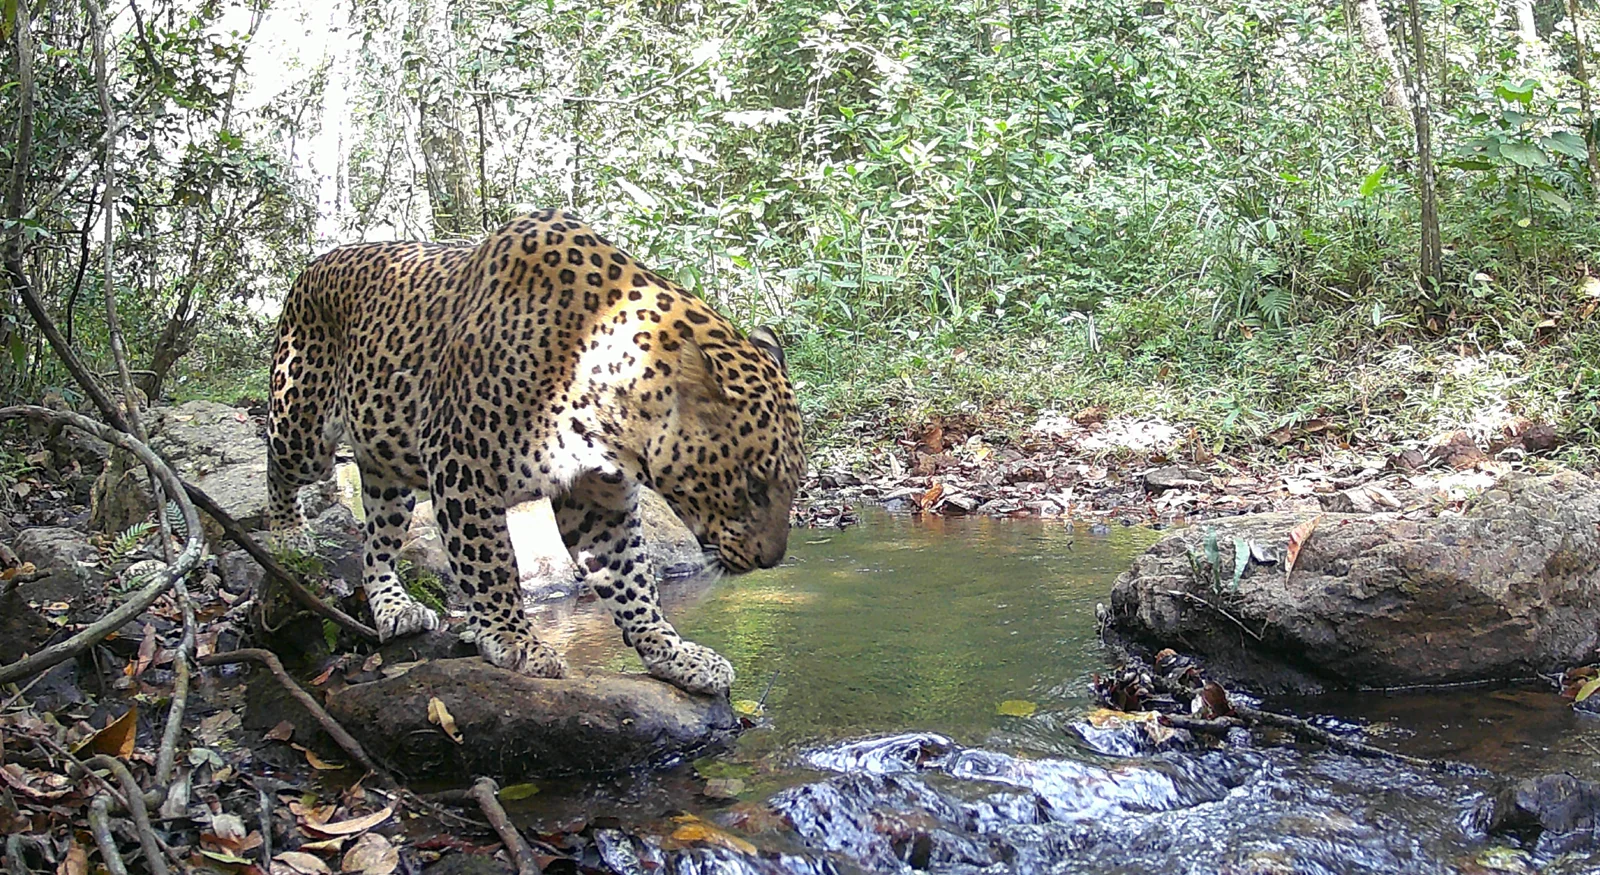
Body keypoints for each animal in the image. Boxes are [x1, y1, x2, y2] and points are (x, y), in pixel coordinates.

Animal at [265, 210, 804, 697]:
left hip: (386, 464)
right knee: (278, 464)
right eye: (753, 486)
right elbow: (491, 563)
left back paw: (394, 607)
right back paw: (287, 536)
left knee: (377, 542)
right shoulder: (462, 466)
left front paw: (673, 653)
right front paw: (515, 640)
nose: (771, 561)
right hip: (303, 424)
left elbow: (631, 578)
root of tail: (318, 262)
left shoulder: (596, 495)